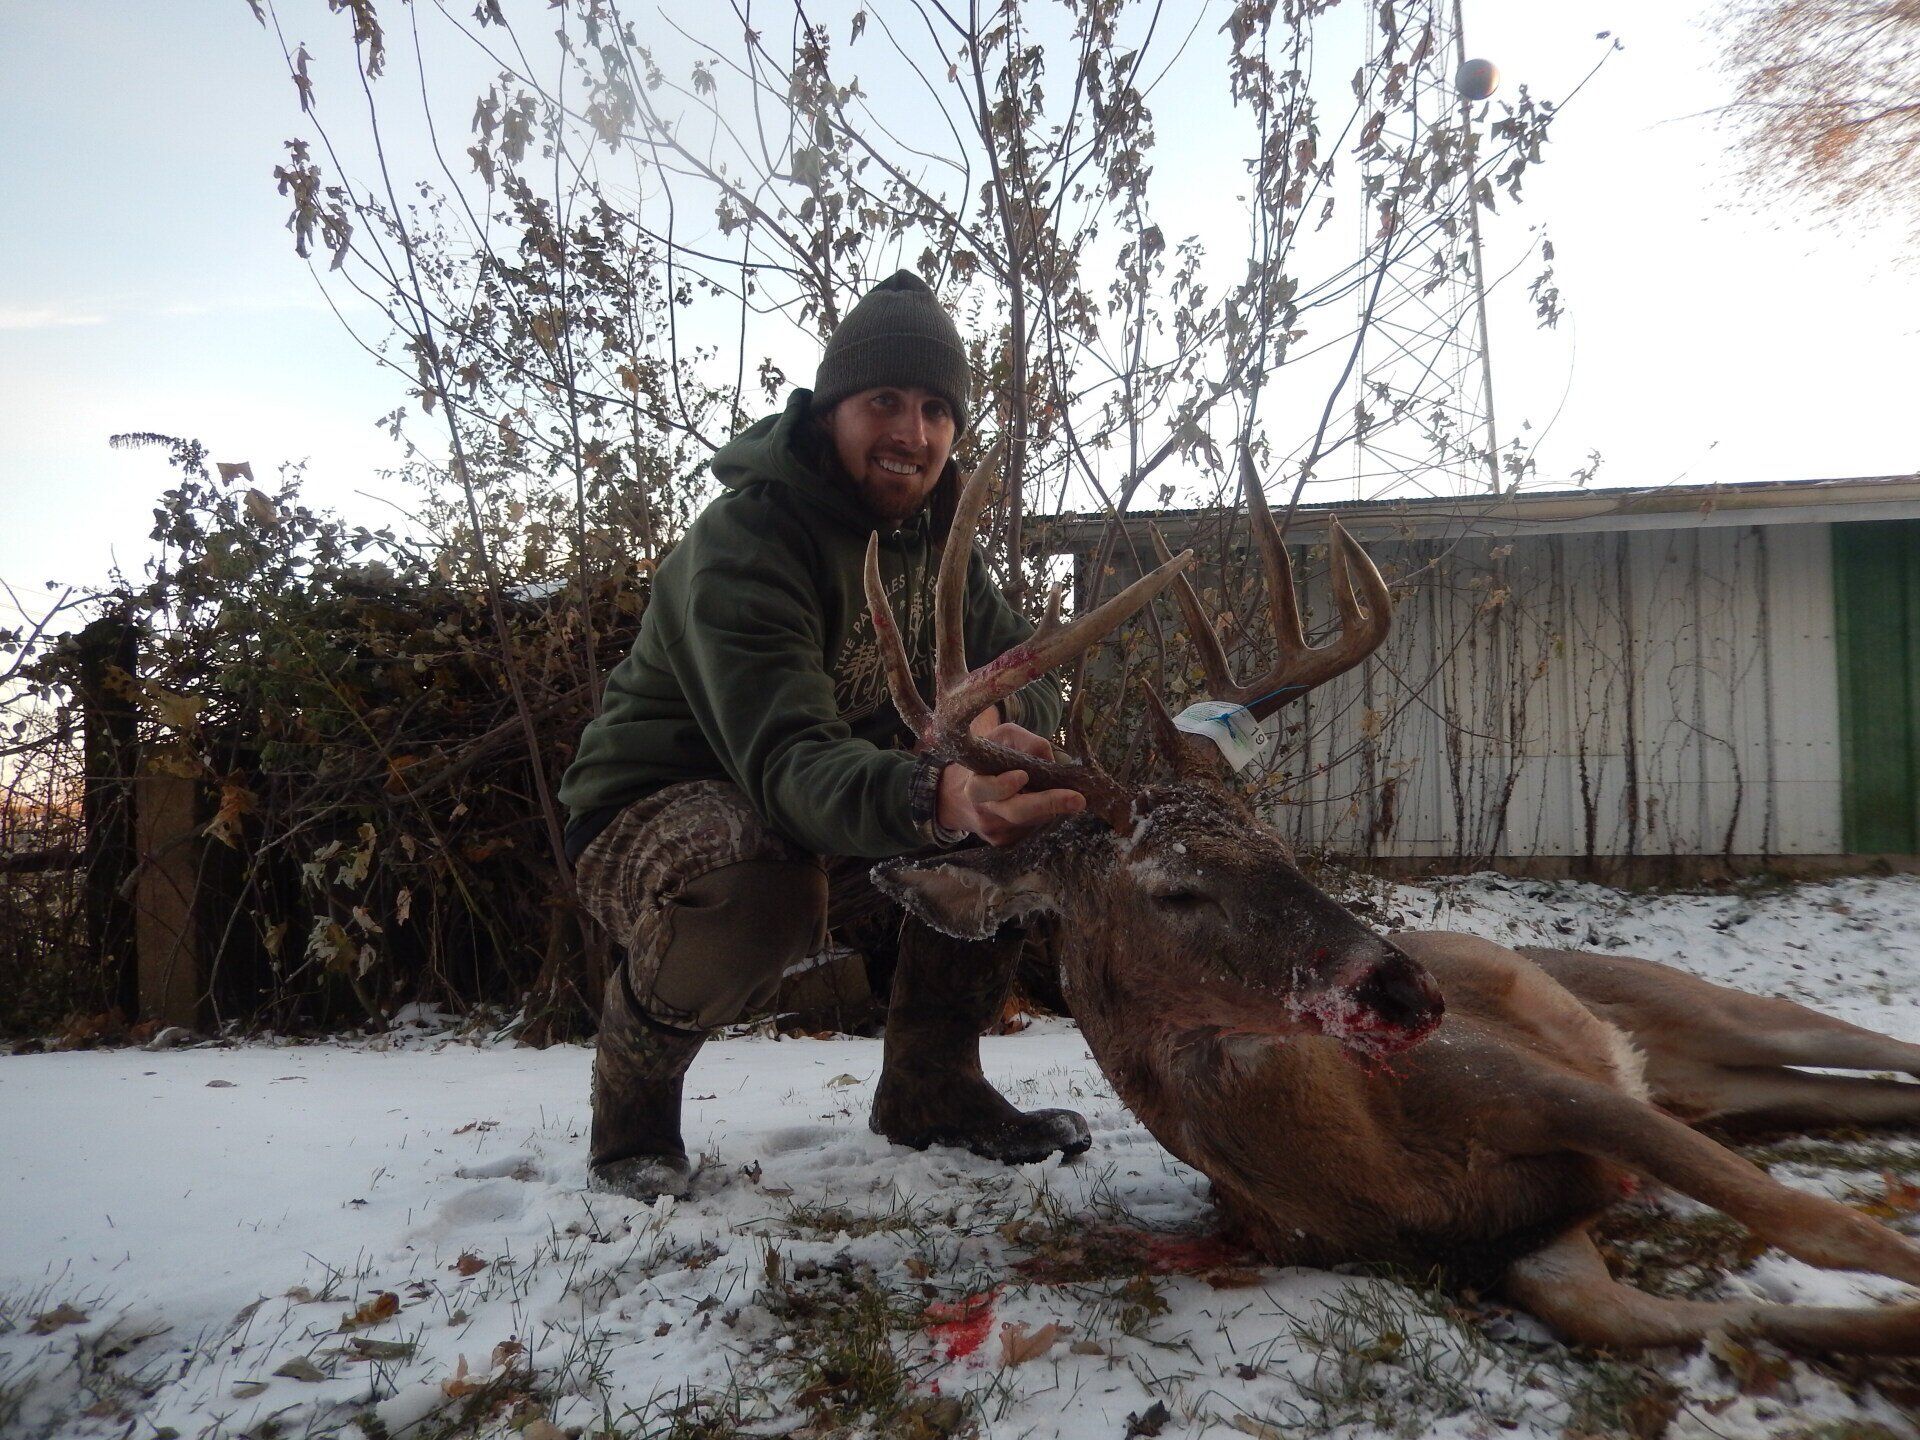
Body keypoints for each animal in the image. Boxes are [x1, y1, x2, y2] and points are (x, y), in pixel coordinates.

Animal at [863, 449, 1920, 1356]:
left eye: (1282, 849)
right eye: (1174, 887)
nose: (1410, 991)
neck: (1375, 1171)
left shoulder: (1541, 1083)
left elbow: (1815, 1222)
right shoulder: (1516, 1243)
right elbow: (1648, 1318)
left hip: (1699, 1004)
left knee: (1872, 1053)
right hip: (1712, 1081)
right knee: (1857, 1096)